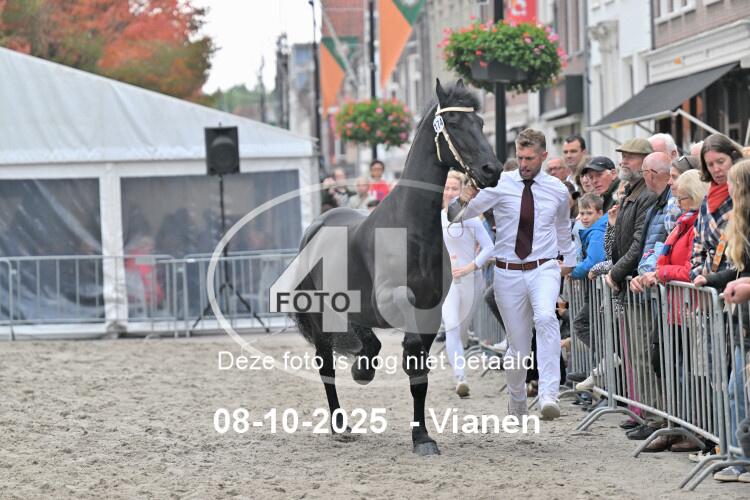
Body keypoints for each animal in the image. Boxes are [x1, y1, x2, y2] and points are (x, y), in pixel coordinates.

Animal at [291, 79, 501, 455]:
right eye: (455, 124)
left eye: (479, 123)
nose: (492, 170)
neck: (411, 229)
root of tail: (316, 226)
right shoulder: (394, 300)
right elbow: (411, 352)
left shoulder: (431, 312)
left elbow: (419, 377)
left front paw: (423, 437)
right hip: (320, 317)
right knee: (326, 364)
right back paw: (340, 424)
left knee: (365, 340)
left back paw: (363, 368)